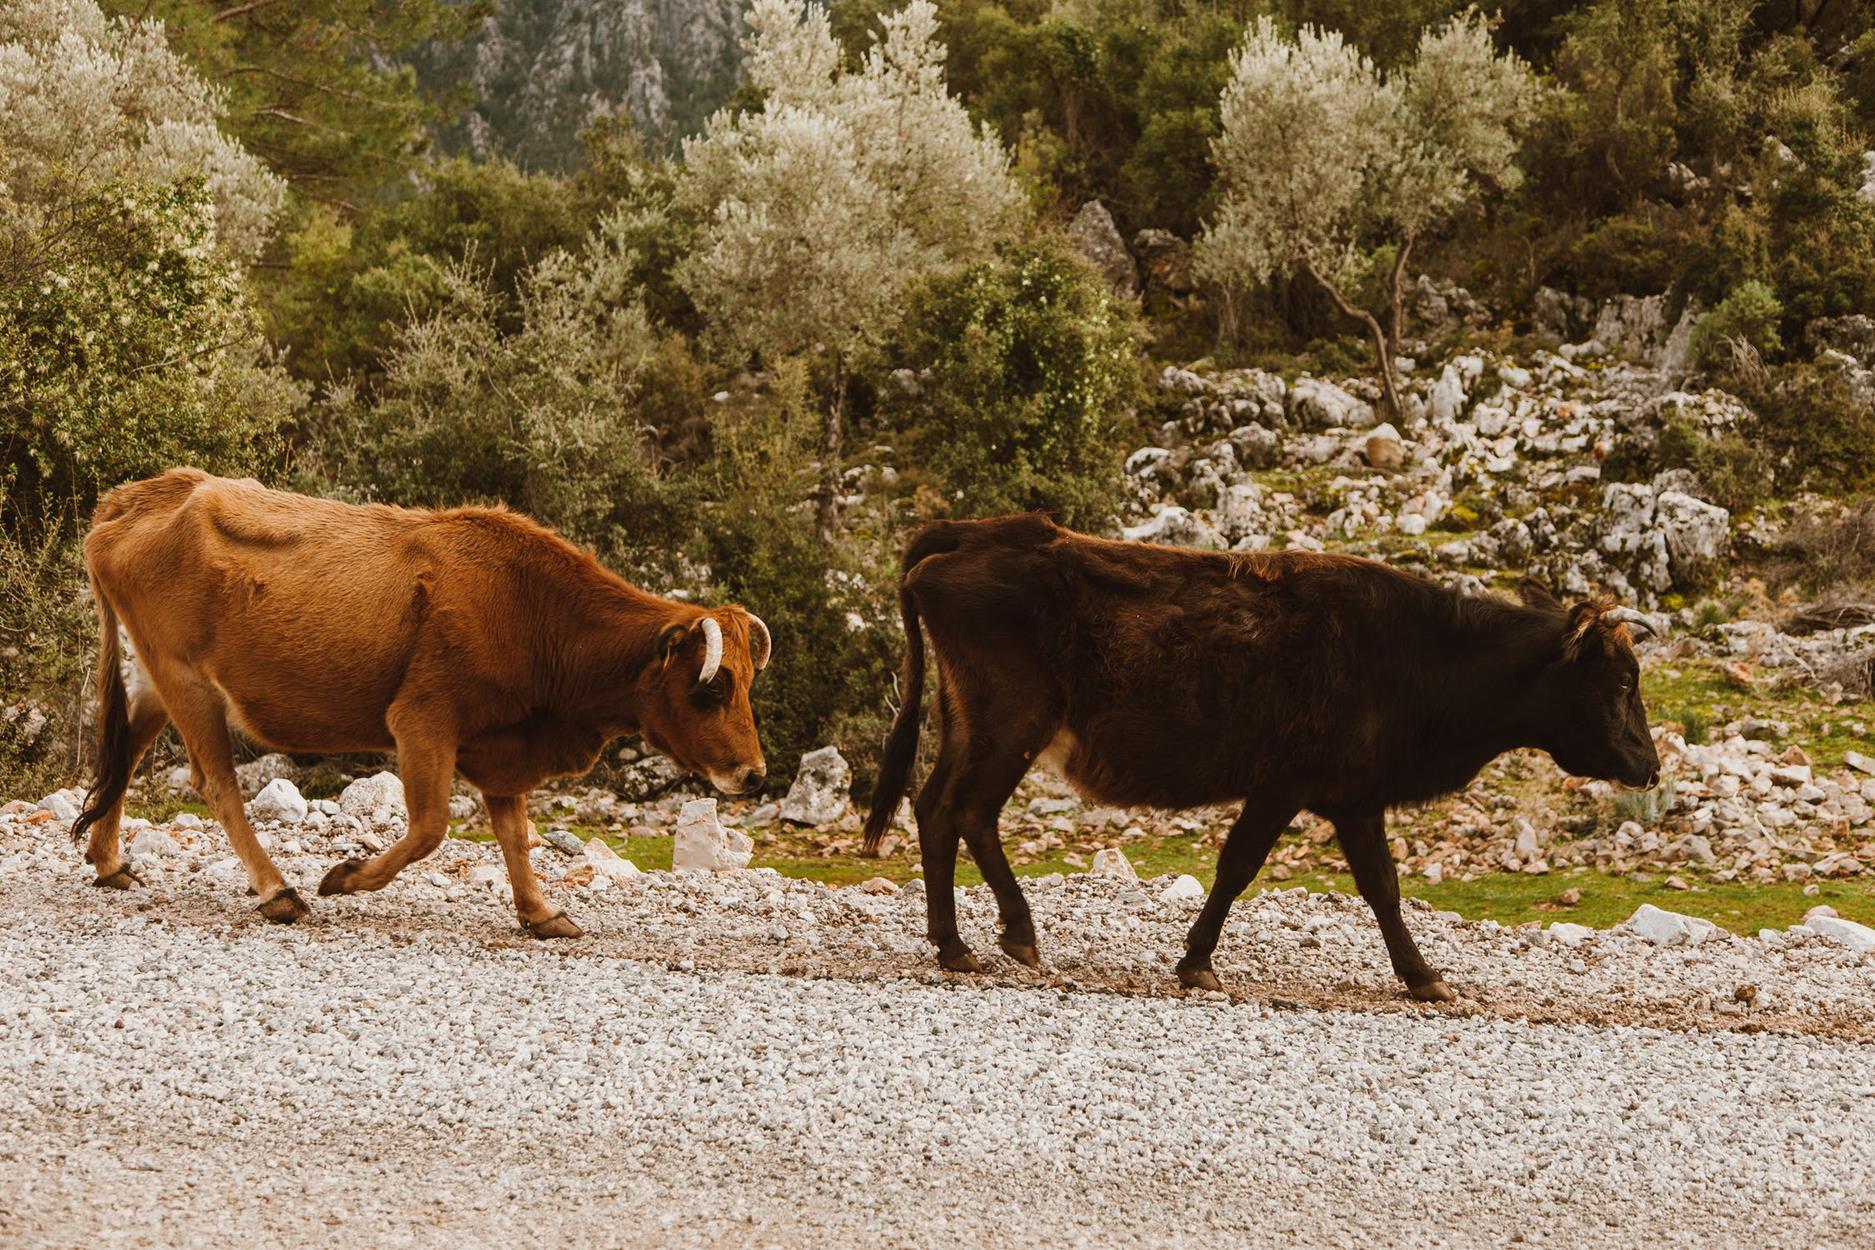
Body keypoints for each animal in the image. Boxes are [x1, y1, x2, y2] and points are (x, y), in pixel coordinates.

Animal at [73, 472, 772, 937]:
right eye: (709, 688)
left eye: (745, 686)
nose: (755, 773)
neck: (528, 605)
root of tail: (145, 493)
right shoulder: (422, 721)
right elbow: (431, 827)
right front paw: (346, 876)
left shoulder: (501, 745)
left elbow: (515, 834)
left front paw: (541, 912)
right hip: (187, 681)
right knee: (216, 782)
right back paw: (279, 891)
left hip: (158, 679)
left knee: (126, 746)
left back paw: (109, 863)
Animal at [858, 513, 1657, 1004]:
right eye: (1621, 682)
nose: (1649, 767)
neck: (1419, 655)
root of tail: (976, 533)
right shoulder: (1285, 785)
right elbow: (1239, 866)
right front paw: (1197, 963)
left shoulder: (1355, 800)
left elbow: (1383, 888)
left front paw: (1421, 976)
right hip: (1008, 727)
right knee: (966, 812)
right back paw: (1007, 936)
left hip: (973, 726)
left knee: (939, 811)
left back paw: (954, 943)